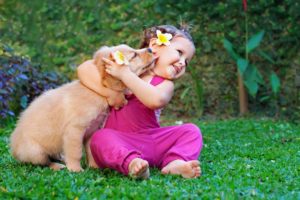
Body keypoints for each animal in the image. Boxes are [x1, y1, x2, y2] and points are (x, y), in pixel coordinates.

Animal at [9, 45, 155, 172]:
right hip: (35, 152)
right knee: (44, 162)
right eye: (134, 55)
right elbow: (76, 152)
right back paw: (57, 166)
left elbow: (90, 150)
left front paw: (94, 167)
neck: (96, 93)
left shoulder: (92, 130)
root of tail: (13, 149)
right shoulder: (74, 130)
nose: (150, 49)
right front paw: (76, 169)